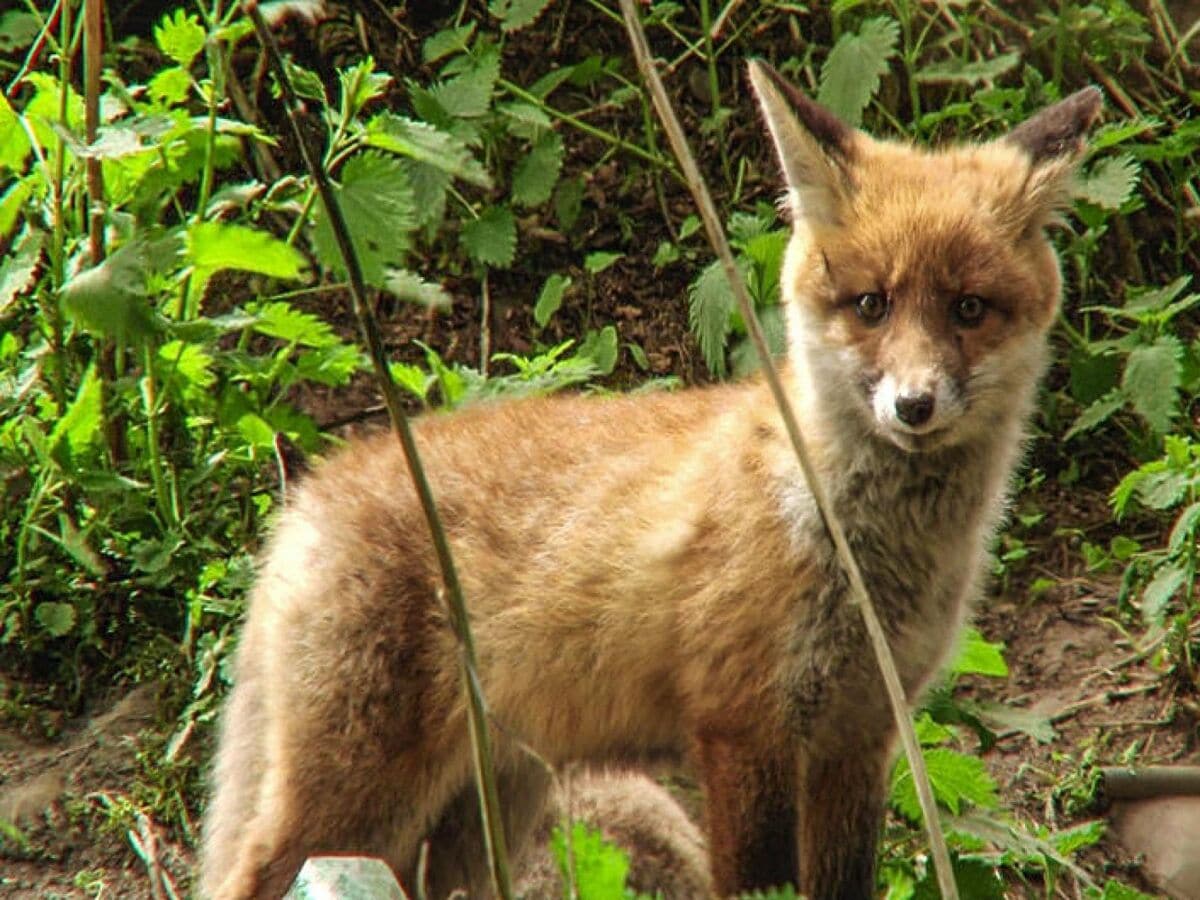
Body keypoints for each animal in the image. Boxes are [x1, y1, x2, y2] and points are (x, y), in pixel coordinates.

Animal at [201, 63, 1099, 900]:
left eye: (969, 308)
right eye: (872, 305)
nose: (913, 406)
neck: (850, 543)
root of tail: (313, 490)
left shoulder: (859, 737)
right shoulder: (744, 731)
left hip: (482, 810)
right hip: (357, 791)